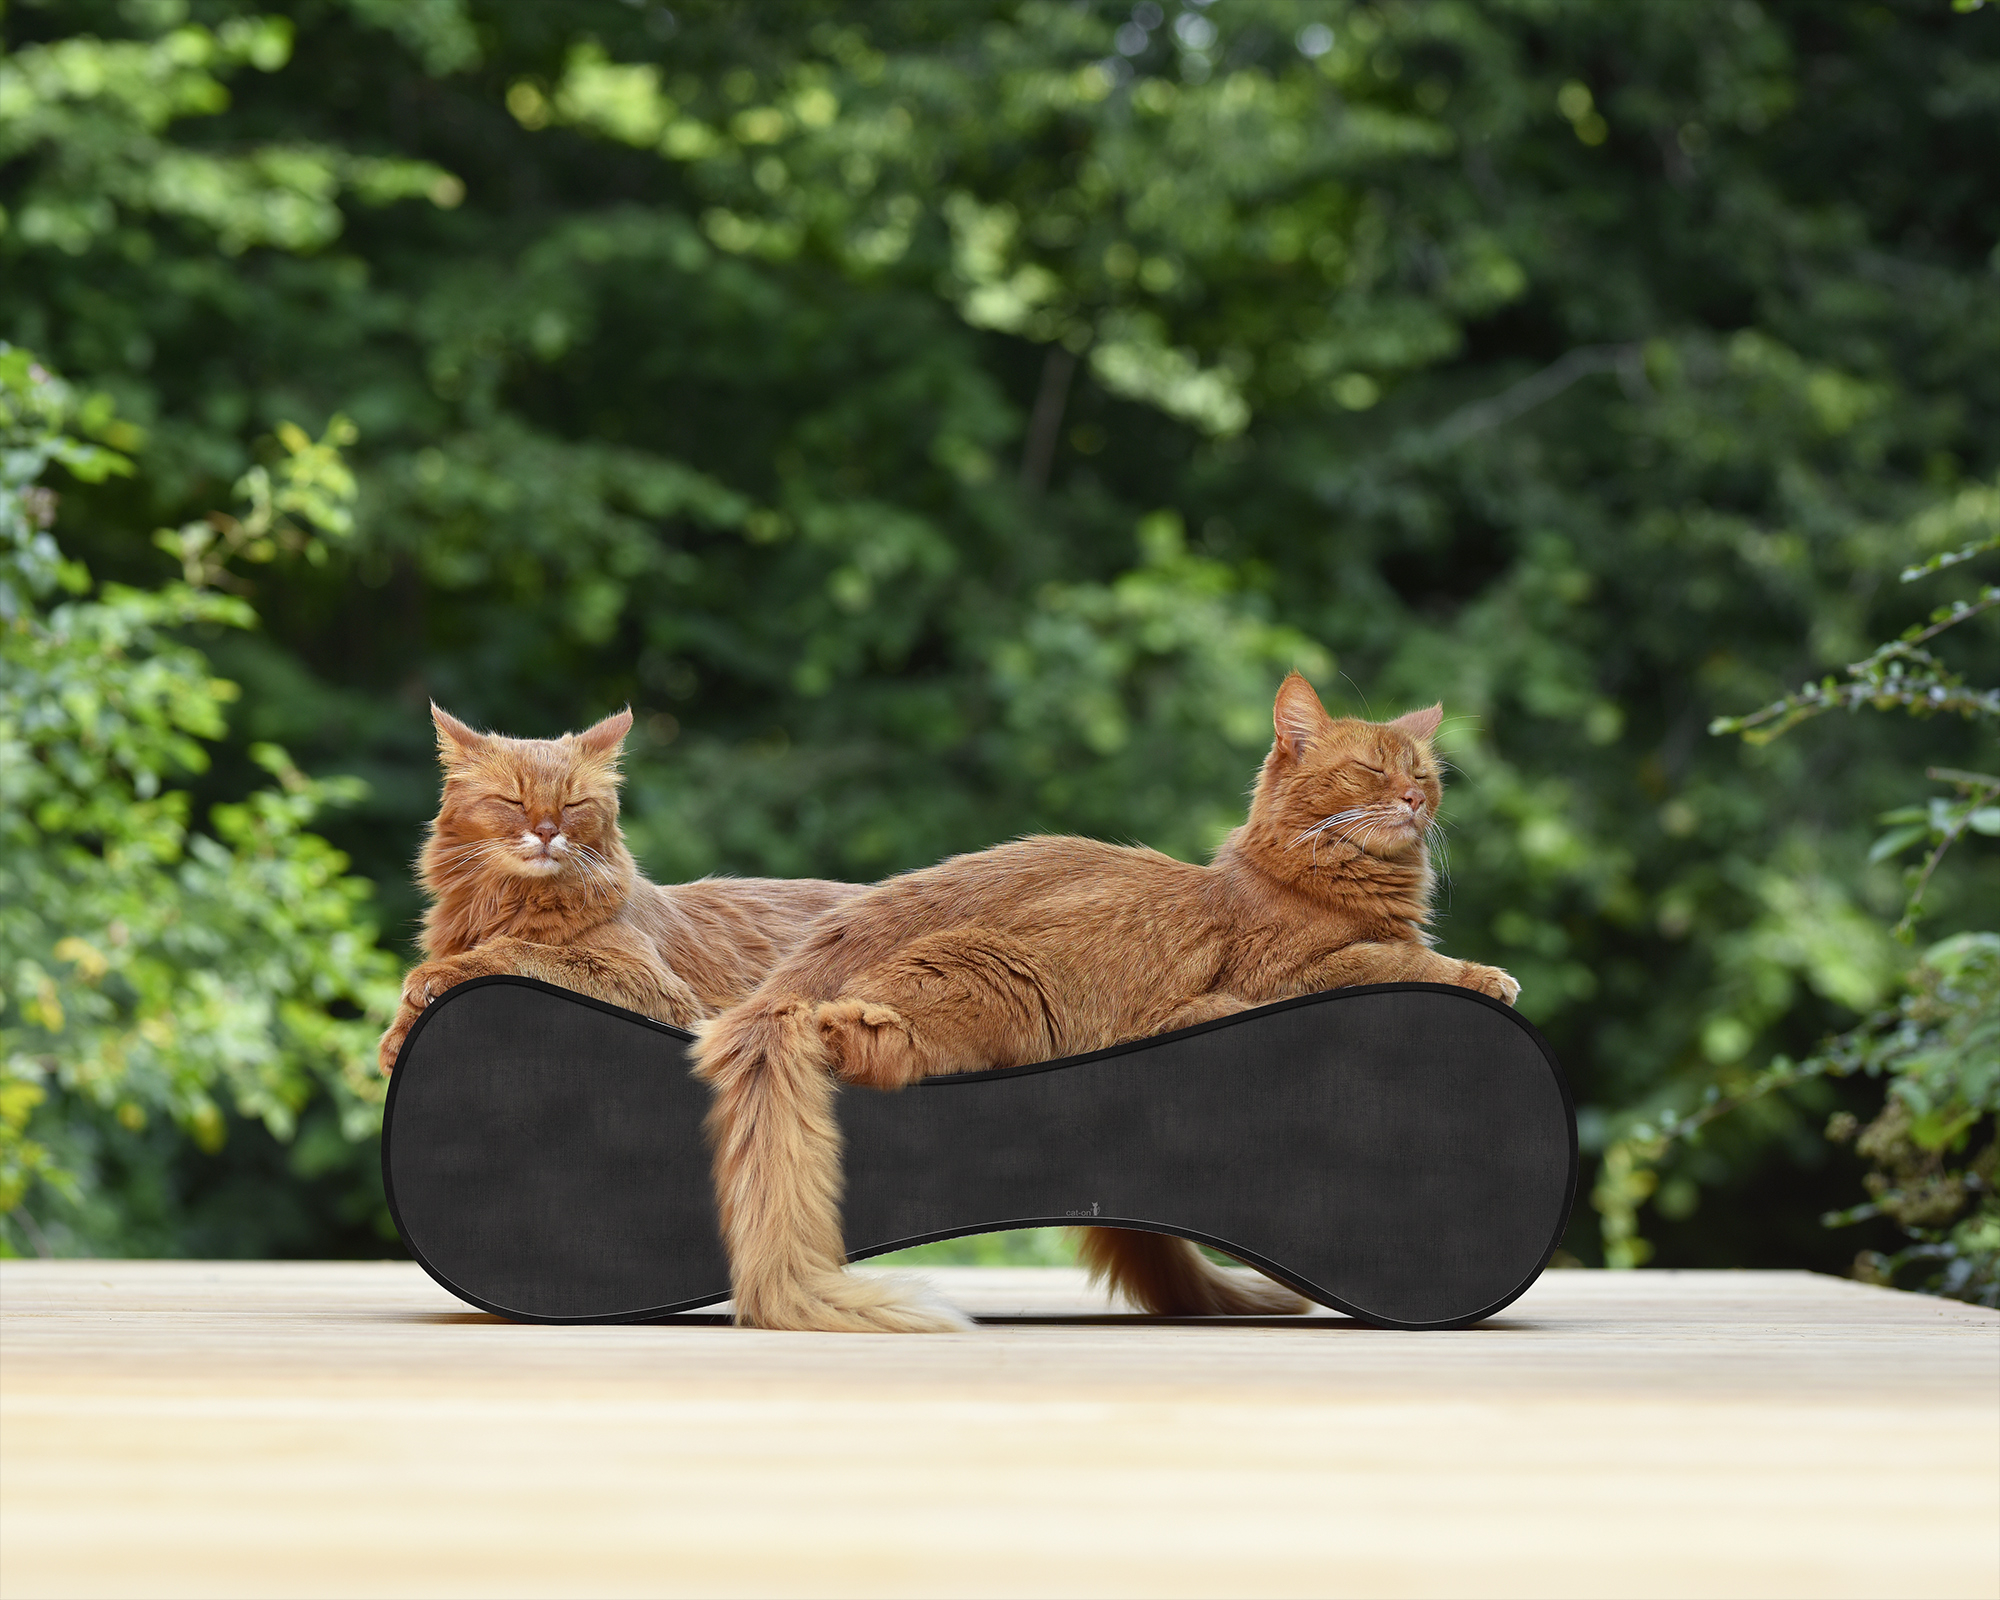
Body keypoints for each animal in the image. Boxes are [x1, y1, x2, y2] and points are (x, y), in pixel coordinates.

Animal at [376, 705, 864, 1072]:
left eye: (573, 804)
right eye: (513, 801)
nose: (548, 832)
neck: (511, 900)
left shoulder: (659, 988)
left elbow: (522, 950)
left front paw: (434, 976)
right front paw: (399, 1034)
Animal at [690, 673, 1520, 1333]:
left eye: (1424, 775)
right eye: (1368, 770)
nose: (1412, 799)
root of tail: (787, 983)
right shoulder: (1284, 972)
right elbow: (1403, 958)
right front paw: (1487, 973)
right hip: (1004, 975)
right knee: (849, 1033)